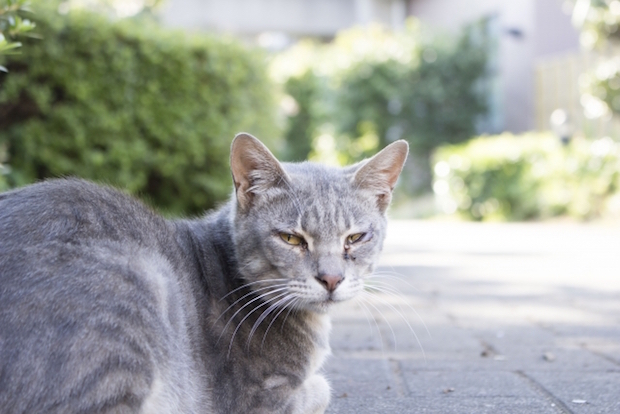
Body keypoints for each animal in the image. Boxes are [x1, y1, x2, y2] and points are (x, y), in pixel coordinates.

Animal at [0, 134, 406, 412]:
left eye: (355, 238)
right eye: (291, 238)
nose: (332, 279)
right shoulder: (258, 399)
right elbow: (321, 388)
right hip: (139, 290)